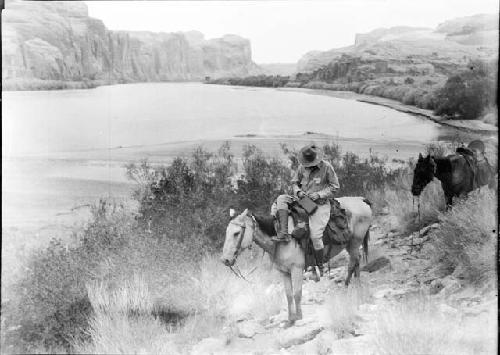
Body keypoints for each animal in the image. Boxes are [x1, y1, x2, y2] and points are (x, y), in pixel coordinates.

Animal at [222, 197, 372, 328]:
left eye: (236, 233)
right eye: (227, 232)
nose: (225, 260)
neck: (280, 238)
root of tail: (361, 199)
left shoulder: (297, 269)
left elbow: (297, 293)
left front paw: (299, 317)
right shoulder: (284, 272)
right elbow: (288, 295)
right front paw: (290, 320)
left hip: (355, 242)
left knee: (352, 263)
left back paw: (348, 288)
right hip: (350, 245)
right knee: (356, 262)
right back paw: (356, 287)